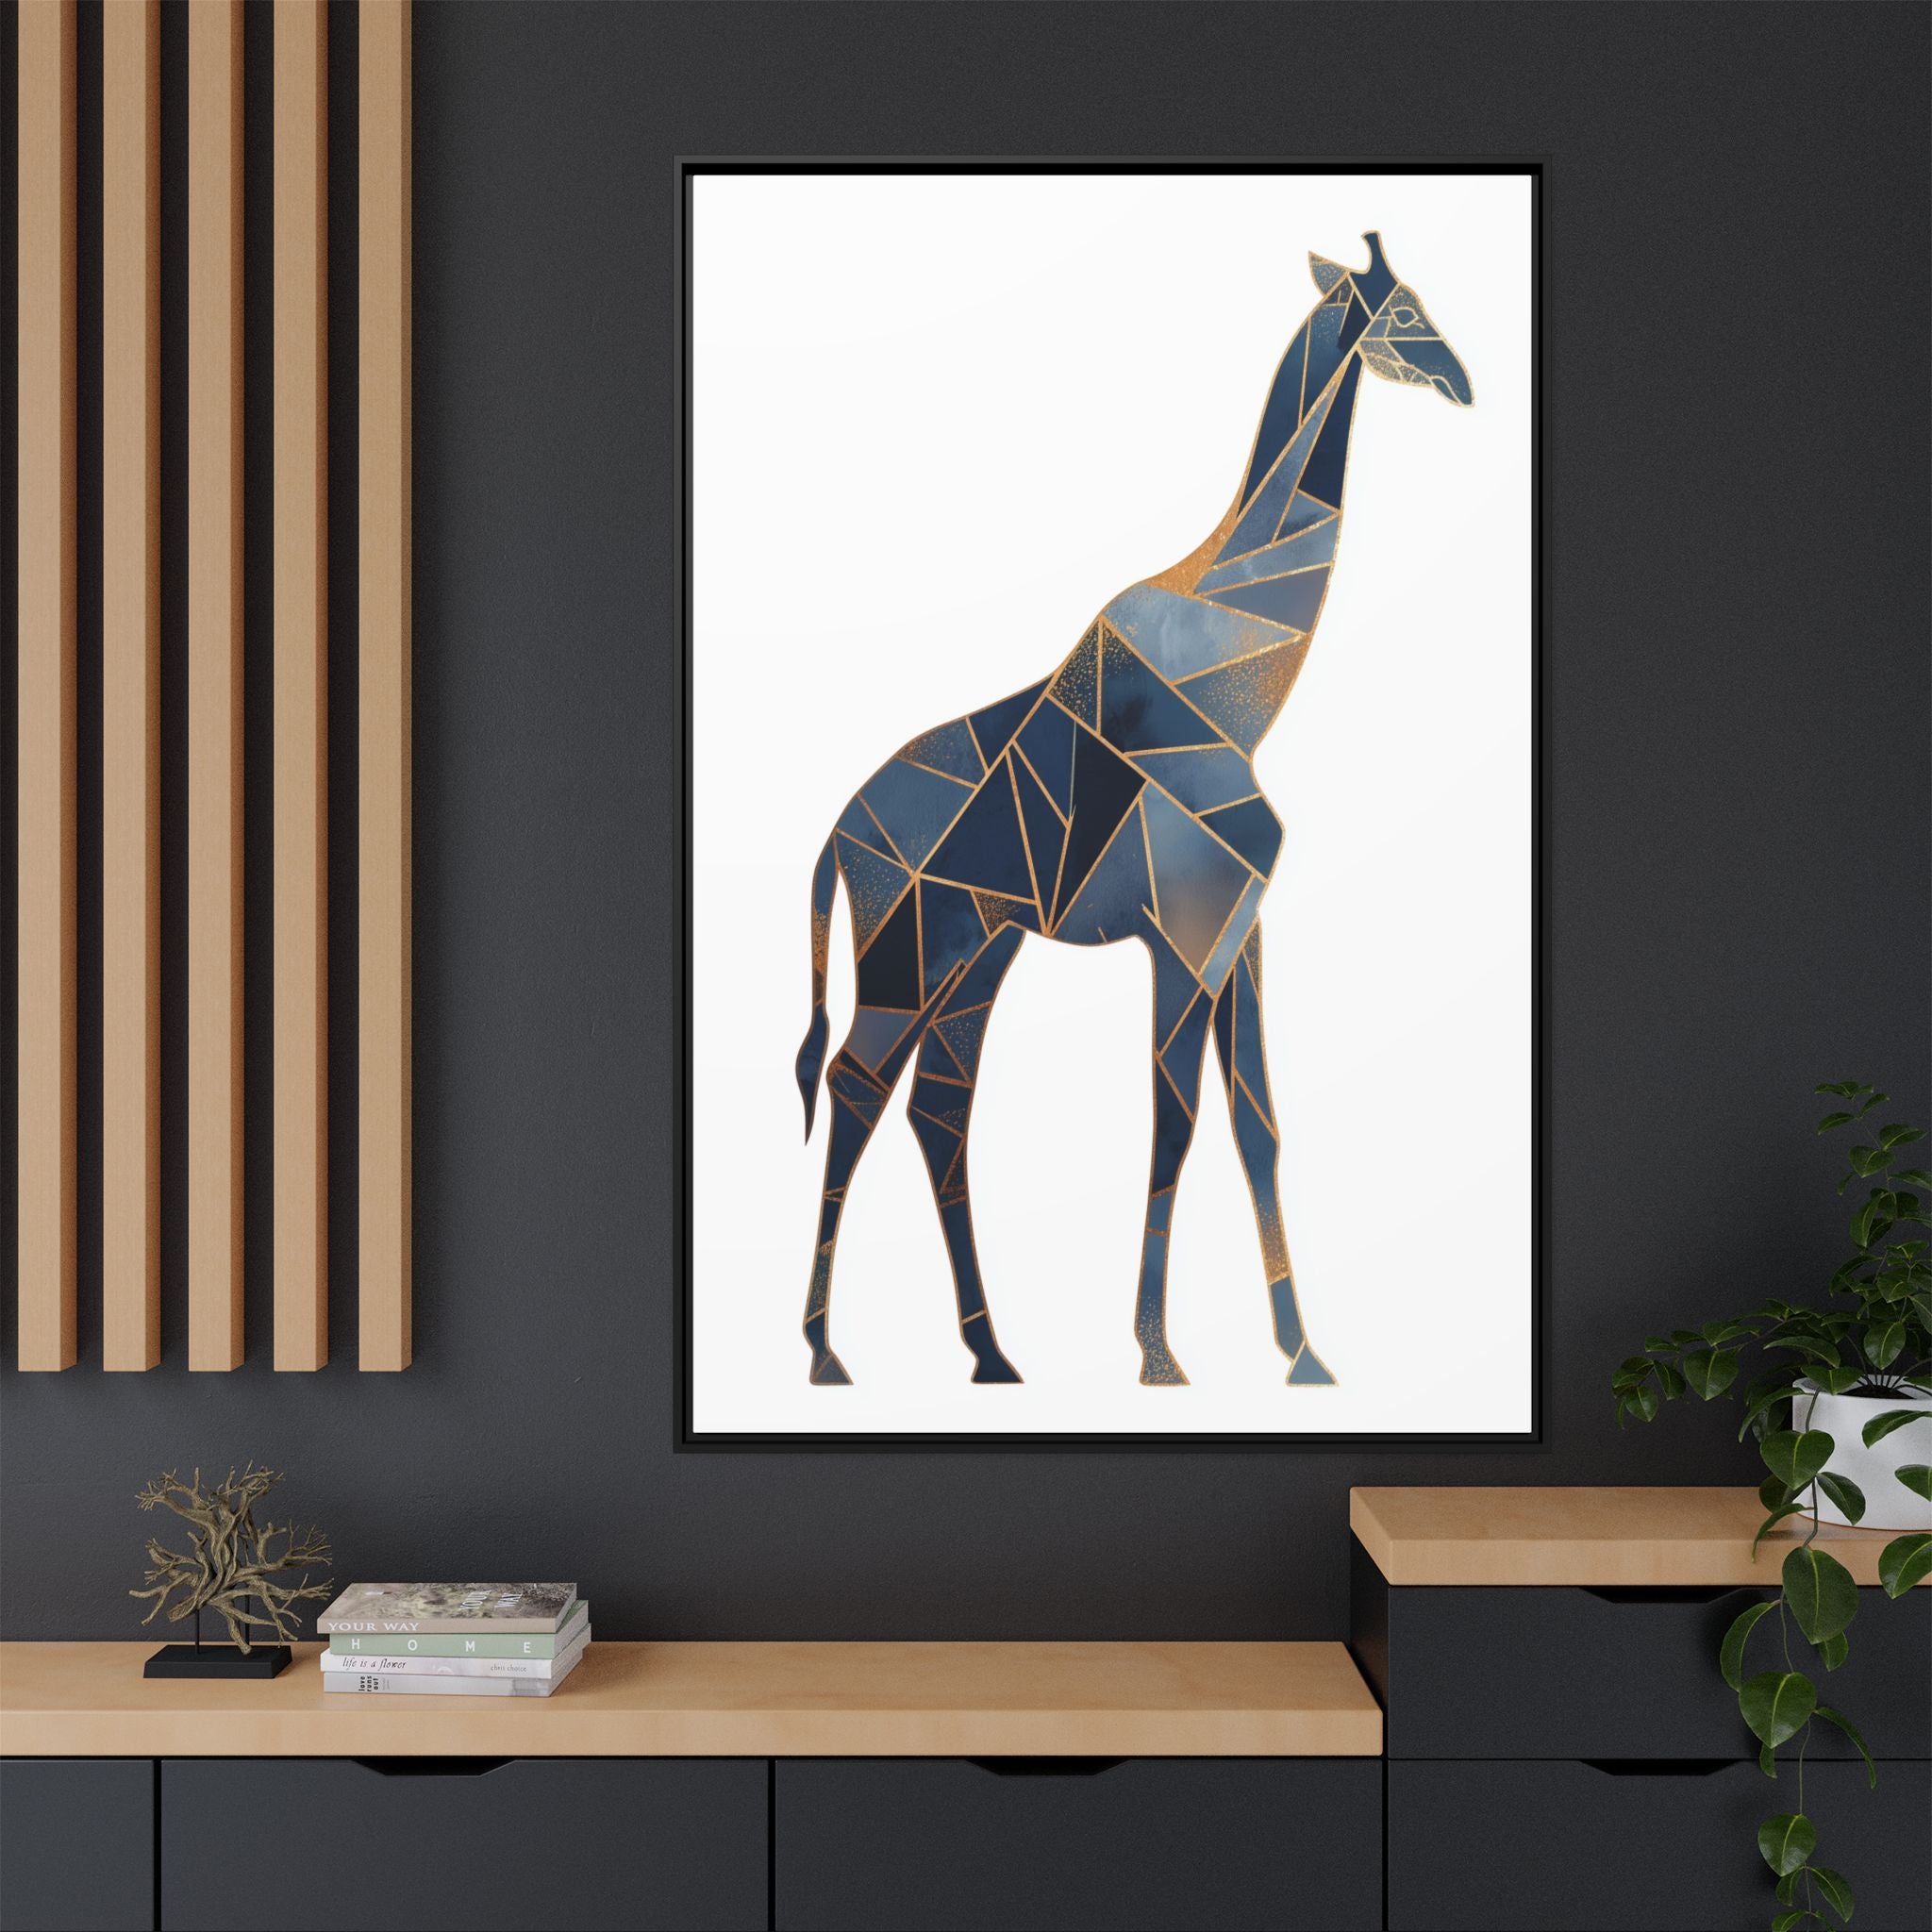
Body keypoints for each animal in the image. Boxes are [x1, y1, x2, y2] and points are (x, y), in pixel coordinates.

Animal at [793, 232, 1473, 1389]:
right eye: (1403, 311)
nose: (1462, 381)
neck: (1239, 684)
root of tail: (837, 837)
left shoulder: (1239, 931)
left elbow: (1257, 1125)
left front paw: (1302, 1355)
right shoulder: (1184, 933)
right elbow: (1176, 1123)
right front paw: (1158, 1354)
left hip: (977, 956)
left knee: (938, 1107)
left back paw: (990, 1353)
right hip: (906, 953)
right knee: (853, 1088)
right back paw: (826, 1352)